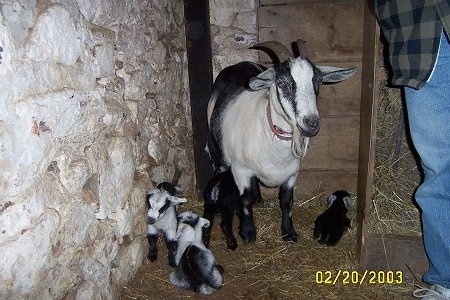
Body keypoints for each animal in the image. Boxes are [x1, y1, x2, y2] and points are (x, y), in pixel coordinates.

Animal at [206, 41, 356, 244]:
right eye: (283, 84)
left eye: (317, 82)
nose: (311, 123)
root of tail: (240, 64)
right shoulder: (241, 170)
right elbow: (245, 199)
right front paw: (248, 233)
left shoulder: (291, 173)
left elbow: (286, 201)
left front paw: (289, 232)